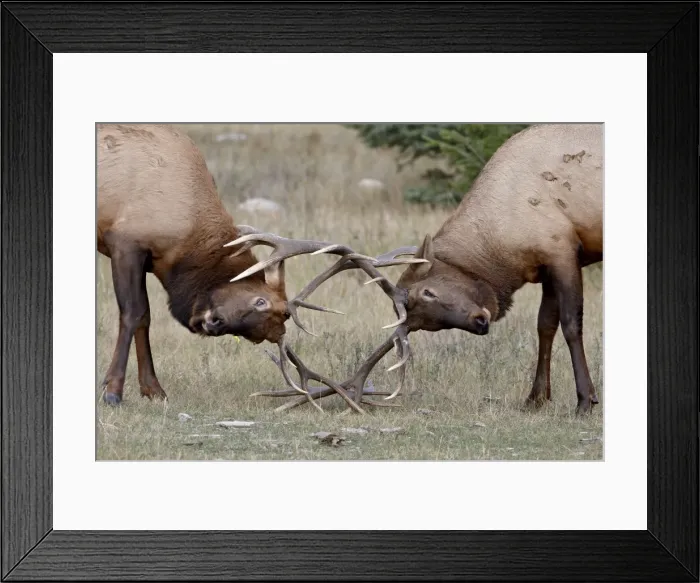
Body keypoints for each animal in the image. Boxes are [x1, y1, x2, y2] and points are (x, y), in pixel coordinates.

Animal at [96, 123, 424, 406]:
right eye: (260, 301)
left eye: (257, 337)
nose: (214, 323)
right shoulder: (126, 243)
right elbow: (134, 313)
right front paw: (112, 391)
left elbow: (145, 318)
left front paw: (153, 390)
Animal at [234, 124, 603, 415]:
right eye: (427, 324)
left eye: (428, 291)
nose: (480, 322)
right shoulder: (545, 265)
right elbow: (545, 326)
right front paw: (535, 399)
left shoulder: (561, 250)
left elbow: (571, 324)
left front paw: (585, 401)